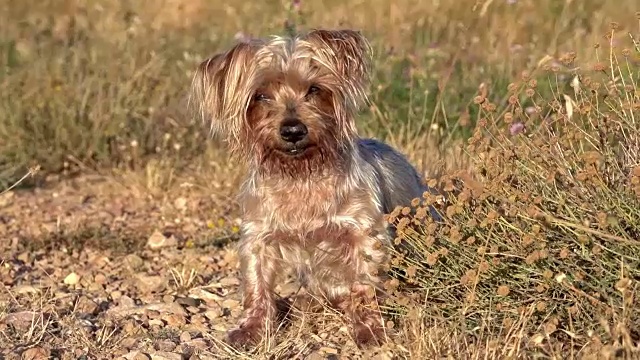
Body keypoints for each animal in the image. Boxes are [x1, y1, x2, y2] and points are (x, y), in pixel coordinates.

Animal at [190, 28, 440, 348]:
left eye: (314, 89)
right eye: (261, 96)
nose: (293, 130)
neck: (302, 174)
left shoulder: (364, 233)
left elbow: (364, 285)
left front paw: (369, 329)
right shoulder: (258, 236)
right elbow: (257, 285)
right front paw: (251, 328)